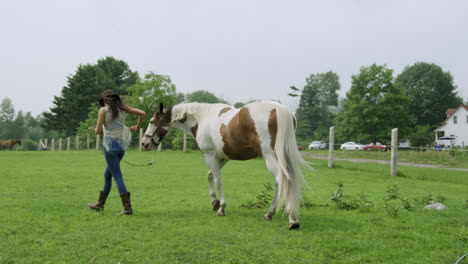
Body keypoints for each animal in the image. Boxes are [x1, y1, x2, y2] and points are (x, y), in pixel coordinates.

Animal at [141, 101, 308, 229]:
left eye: (151, 121)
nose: (144, 143)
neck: (203, 118)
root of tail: (279, 110)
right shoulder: (222, 158)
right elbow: (209, 176)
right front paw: (214, 202)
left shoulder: (210, 156)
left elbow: (218, 180)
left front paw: (221, 208)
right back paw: (279, 215)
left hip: (270, 157)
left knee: (281, 180)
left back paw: (286, 217)